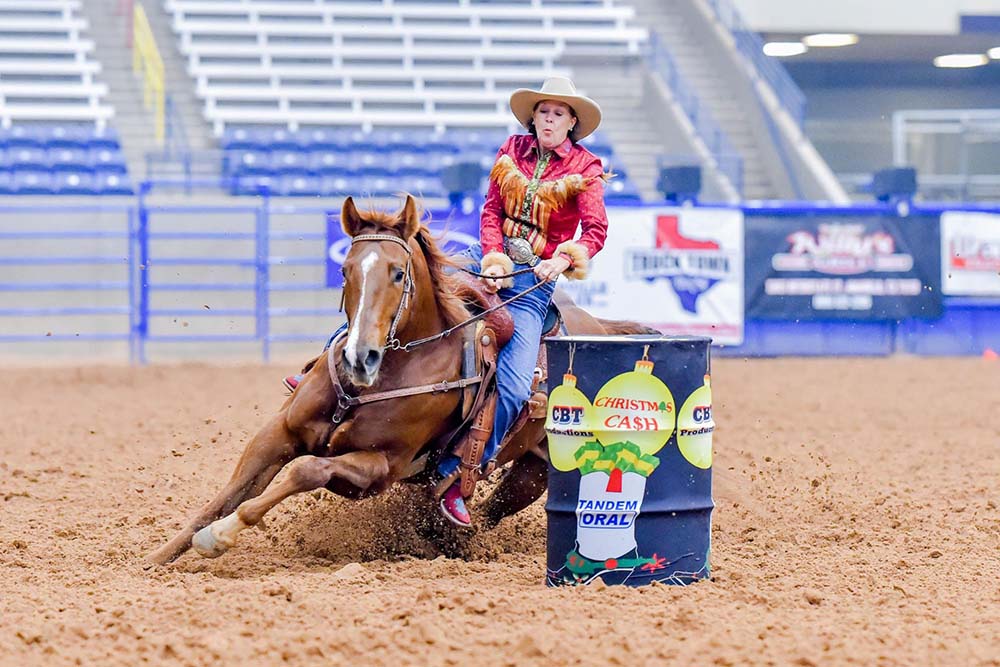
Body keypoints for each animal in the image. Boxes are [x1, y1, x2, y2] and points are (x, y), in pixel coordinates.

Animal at [143, 196, 656, 568]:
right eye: (346, 270)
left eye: (397, 273)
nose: (359, 357)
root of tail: (600, 327)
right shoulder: (279, 432)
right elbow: (227, 494)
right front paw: (158, 557)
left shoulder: (380, 468)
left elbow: (303, 471)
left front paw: (219, 537)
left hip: (540, 469)